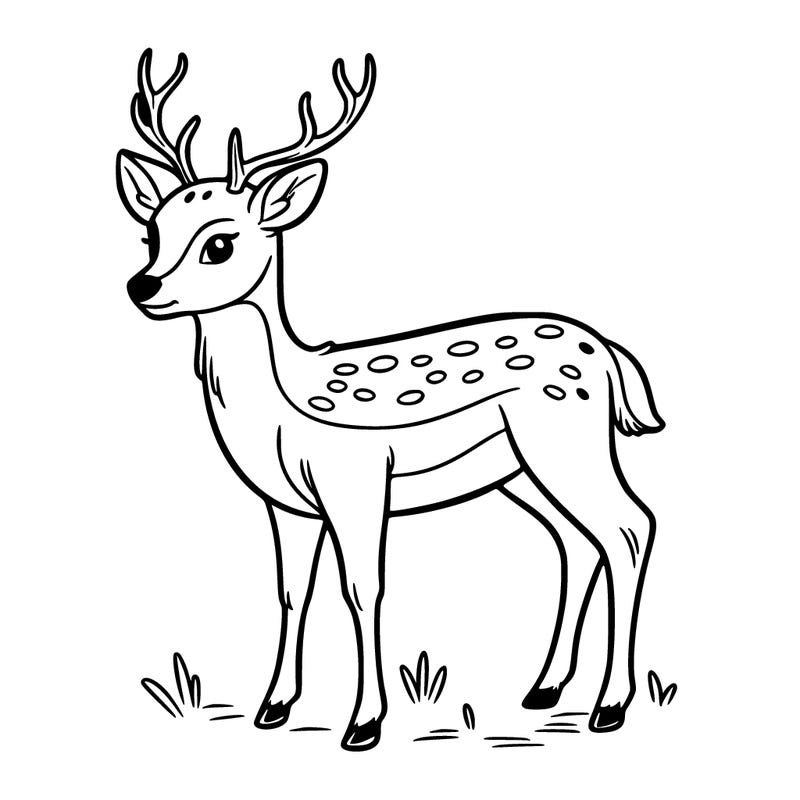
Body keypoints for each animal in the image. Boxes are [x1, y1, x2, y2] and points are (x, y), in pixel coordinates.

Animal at [116, 50, 665, 751]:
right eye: (150, 234)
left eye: (220, 243)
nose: (142, 287)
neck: (279, 408)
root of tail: (611, 353)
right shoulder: (286, 504)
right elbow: (291, 591)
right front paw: (274, 706)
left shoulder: (356, 479)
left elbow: (362, 588)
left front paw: (363, 723)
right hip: (519, 469)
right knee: (578, 541)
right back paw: (542, 690)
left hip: (567, 440)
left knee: (630, 527)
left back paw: (610, 705)